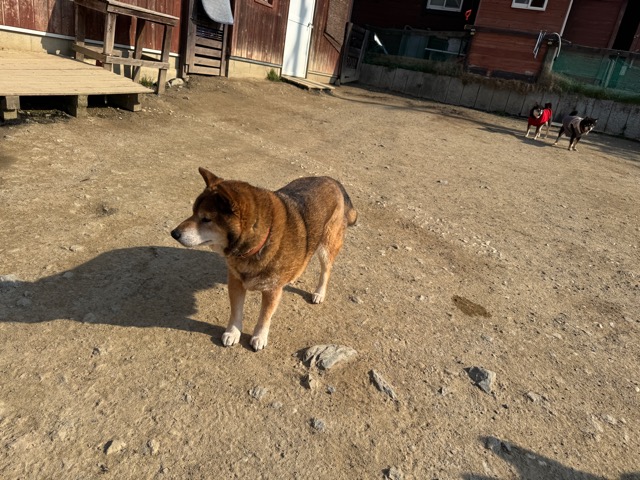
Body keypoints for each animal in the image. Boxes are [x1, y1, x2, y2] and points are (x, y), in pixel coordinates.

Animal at [171, 168, 357, 351]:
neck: (258, 243)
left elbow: (265, 316)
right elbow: (236, 311)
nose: (174, 233)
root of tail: (332, 180)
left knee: (326, 270)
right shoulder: (235, 282)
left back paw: (319, 293)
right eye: (193, 212)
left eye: (206, 219)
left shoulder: (271, 290)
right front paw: (233, 333)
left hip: (326, 245)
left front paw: (259, 337)